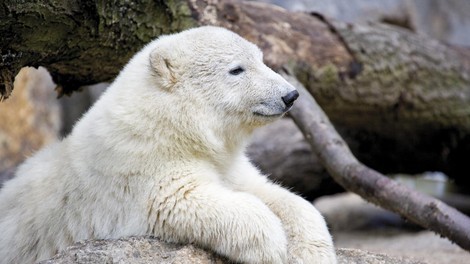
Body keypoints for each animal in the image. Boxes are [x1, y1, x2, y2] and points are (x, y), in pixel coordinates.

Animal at [0, 25, 336, 262]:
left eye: (261, 60)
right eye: (237, 69)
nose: (290, 95)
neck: (173, 128)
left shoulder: (227, 161)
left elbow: (273, 194)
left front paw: (313, 252)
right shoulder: (140, 168)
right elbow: (183, 198)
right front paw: (272, 245)